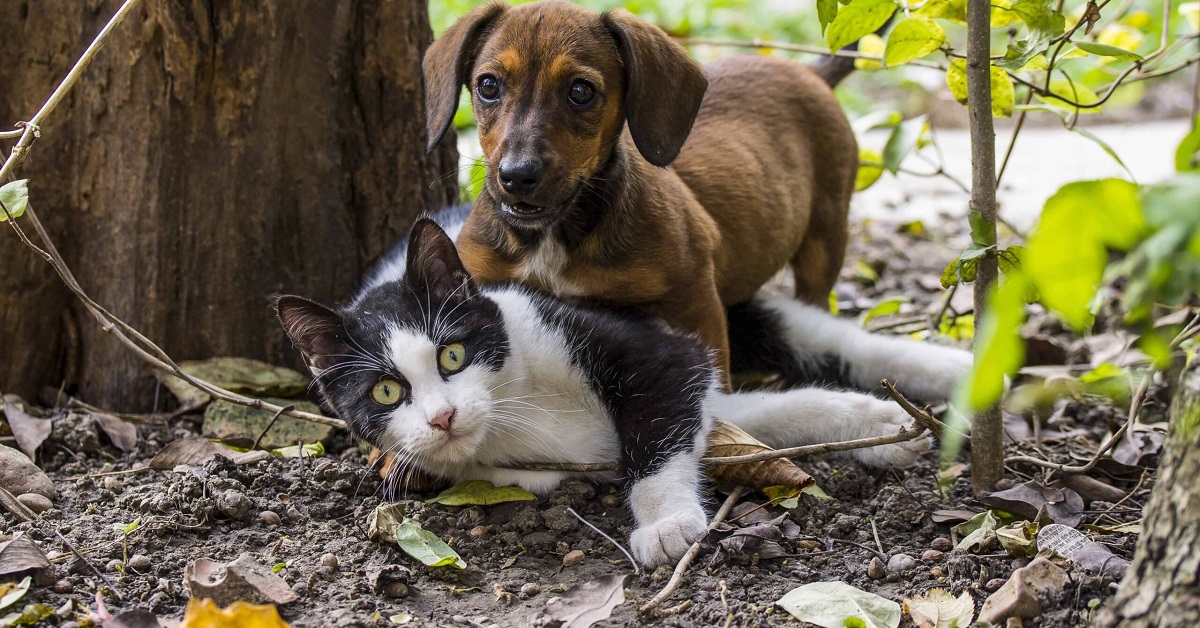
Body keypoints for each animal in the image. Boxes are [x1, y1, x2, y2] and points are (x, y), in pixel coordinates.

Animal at [276, 213, 969, 566]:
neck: (514, 406)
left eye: (452, 354)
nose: (443, 417)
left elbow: (660, 425)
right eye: (385, 394)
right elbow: (751, 415)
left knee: (826, 336)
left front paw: (666, 524)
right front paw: (873, 426)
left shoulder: (645, 347)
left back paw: (959, 373)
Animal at [427, 0, 859, 377]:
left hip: (825, 238)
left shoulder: (695, 299)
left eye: (580, 91)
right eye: (488, 85)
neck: (555, 237)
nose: (517, 176)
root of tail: (810, 73)